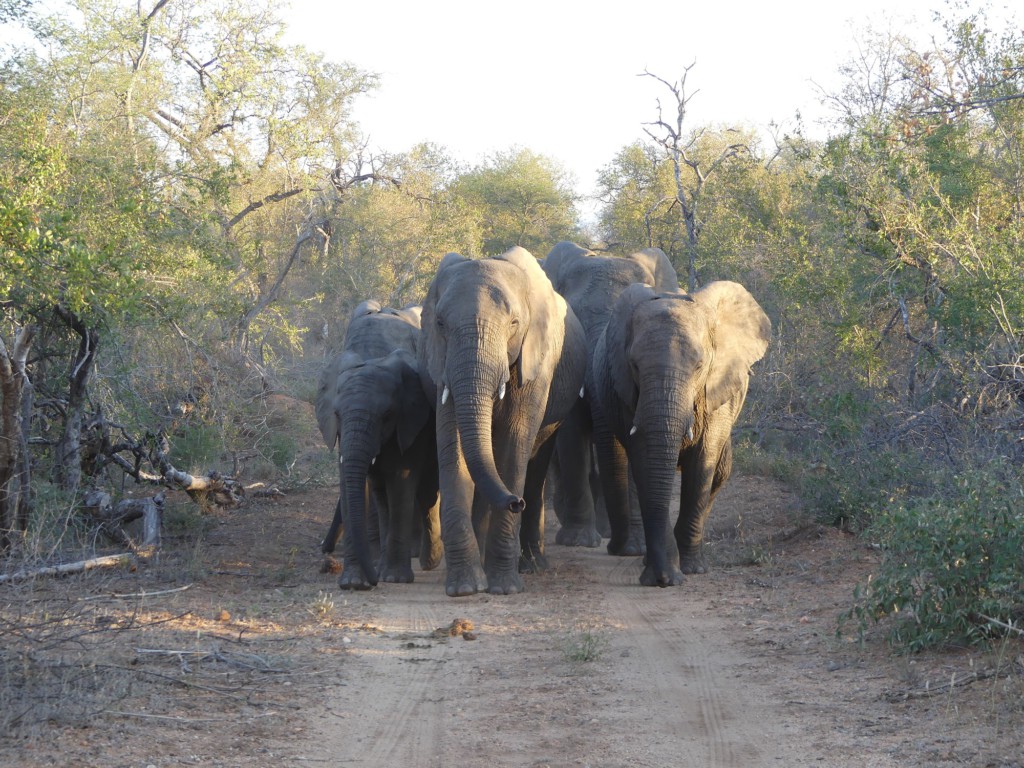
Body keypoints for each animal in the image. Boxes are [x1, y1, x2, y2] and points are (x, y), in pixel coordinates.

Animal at [311, 301, 440, 589]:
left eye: (387, 415)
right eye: (336, 414)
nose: (325, 549)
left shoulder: (410, 420)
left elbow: (401, 479)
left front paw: (392, 577)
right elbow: (356, 482)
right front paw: (354, 582)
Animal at [419, 249, 589, 598]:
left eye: (514, 324)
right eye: (440, 324)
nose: (515, 502)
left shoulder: (535, 364)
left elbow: (514, 444)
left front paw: (504, 587)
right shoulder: (443, 367)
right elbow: (454, 449)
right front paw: (465, 587)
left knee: (535, 466)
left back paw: (533, 564)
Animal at [593, 282, 770, 589]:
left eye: (699, 366)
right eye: (634, 365)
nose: (664, 580)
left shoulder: (716, 389)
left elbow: (703, 462)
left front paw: (691, 569)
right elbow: (646, 462)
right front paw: (662, 575)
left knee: (720, 472)